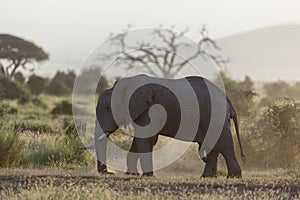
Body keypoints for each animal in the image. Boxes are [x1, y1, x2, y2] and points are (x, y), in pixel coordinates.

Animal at [92, 74, 245, 178]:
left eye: (107, 108)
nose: (108, 173)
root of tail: (227, 100)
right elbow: (141, 139)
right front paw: (131, 175)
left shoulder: (150, 109)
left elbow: (145, 139)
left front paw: (147, 177)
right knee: (214, 146)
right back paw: (207, 177)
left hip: (216, 117)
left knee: (224, 145)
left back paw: (233, 177)